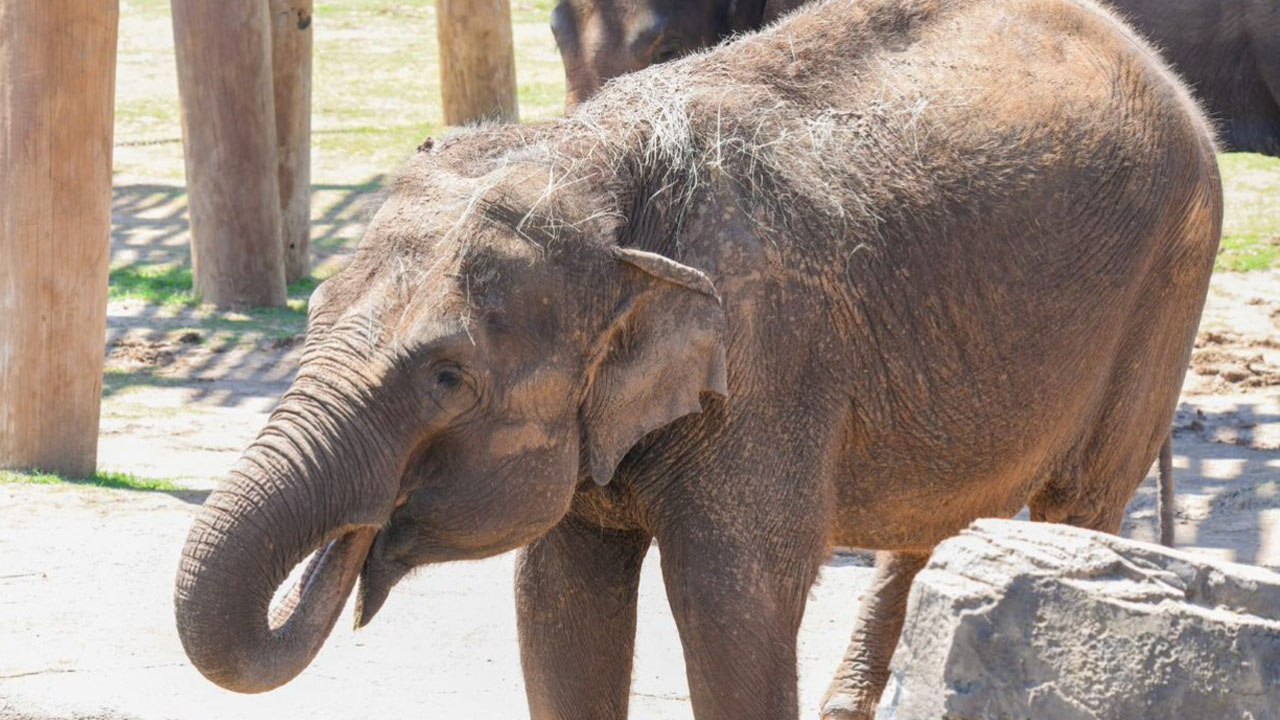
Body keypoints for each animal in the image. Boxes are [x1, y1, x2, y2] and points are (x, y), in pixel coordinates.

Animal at [174, 0, 1222, 718]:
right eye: (310, 318)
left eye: (447, 379)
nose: (351, 542)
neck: (598, 161)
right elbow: (558, 602)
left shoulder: (770, 363)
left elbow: (732, 604)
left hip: (1168, 280)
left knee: (1077, 506)